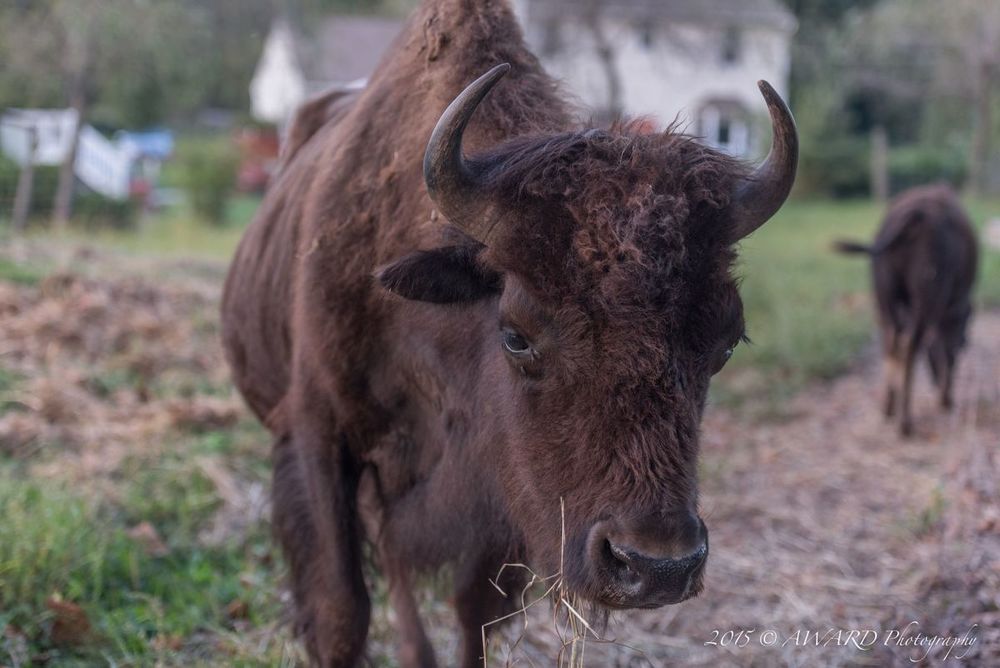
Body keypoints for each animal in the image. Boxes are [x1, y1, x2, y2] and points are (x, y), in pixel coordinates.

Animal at [221, 1, 796, 668]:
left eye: (725, 343)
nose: (657, 566)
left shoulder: (495, 497)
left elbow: (473, 612)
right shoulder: (317, 436)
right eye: (516, 336)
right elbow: (343, 611)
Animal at [836, 184, 976, 438]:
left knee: (891, 347)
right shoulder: (951, 316)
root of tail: (916, 215)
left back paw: (888, 408)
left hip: (885, 305)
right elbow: (946, 353)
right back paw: (905, 423)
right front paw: (946, 399)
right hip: (925, 303)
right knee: (910, 349)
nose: (965, 342)